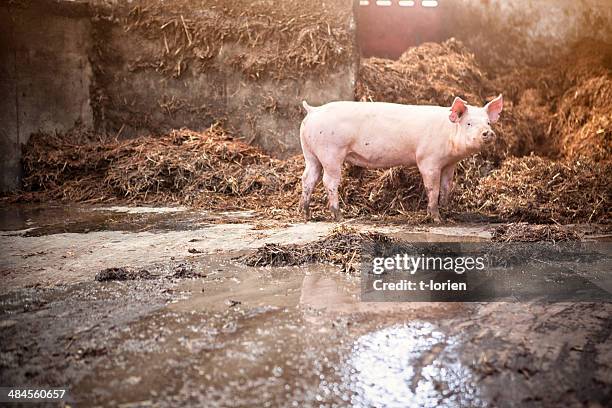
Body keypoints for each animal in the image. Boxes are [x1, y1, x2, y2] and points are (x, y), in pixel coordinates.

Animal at [298, 95, 504, 223]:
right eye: (468, 123)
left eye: (488, 122)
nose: (487, 132)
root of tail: (313, 111)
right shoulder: (428, 160)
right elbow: (433, 188)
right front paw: (436, 219)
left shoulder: (449, 164)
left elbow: (446, 186)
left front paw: (447, 211)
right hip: (331, 152)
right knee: (329, 181)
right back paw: (339, 216)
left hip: (311, 154)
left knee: (308, 178)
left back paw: (306, 214)